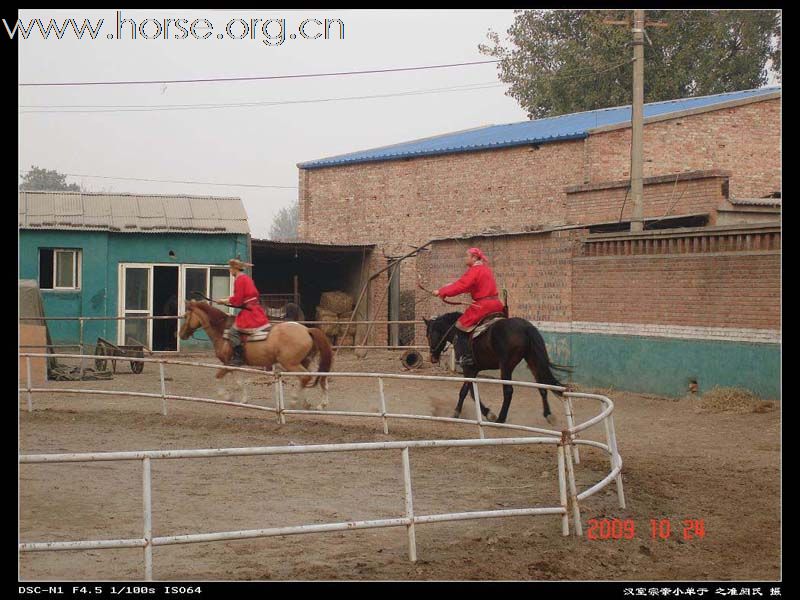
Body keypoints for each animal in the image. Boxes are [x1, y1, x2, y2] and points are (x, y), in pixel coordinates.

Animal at [180, 300, 332, 408]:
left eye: (186, 316)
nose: (181, 334)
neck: (223, 330)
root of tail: (307, 330)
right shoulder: (234, 365)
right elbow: (239, 382)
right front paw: (243, 399)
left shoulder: (228, 363)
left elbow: (218, 377)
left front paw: (227, 397)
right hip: (306, 361)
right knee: (315, 378)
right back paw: (316, 403)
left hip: (291, 363)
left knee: (305, 377)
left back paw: (295, 401)